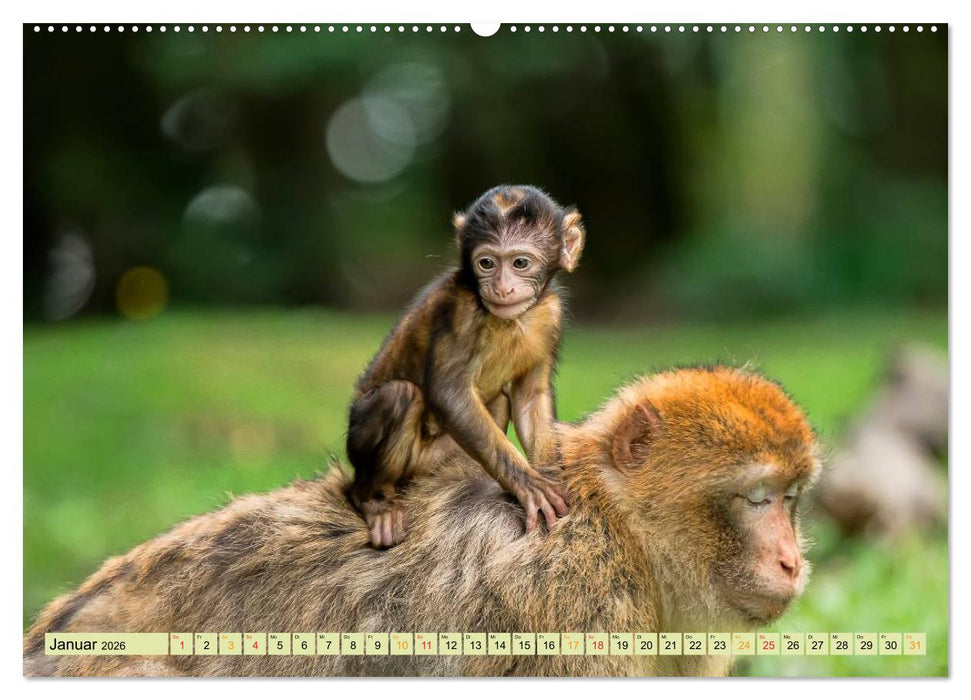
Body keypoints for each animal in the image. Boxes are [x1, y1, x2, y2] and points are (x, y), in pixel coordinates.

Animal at [346, 185, 584, 548]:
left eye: (520, 262)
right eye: (486, 263)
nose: (501, 287)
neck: (510, 320)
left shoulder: (551, 315)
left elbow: (530, 396)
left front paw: (550, 474)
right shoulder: (461, 311)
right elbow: (449, 394)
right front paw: (528, 485)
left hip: (434, 462)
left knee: (498, 401)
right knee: (399, 395)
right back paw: (373, 500)